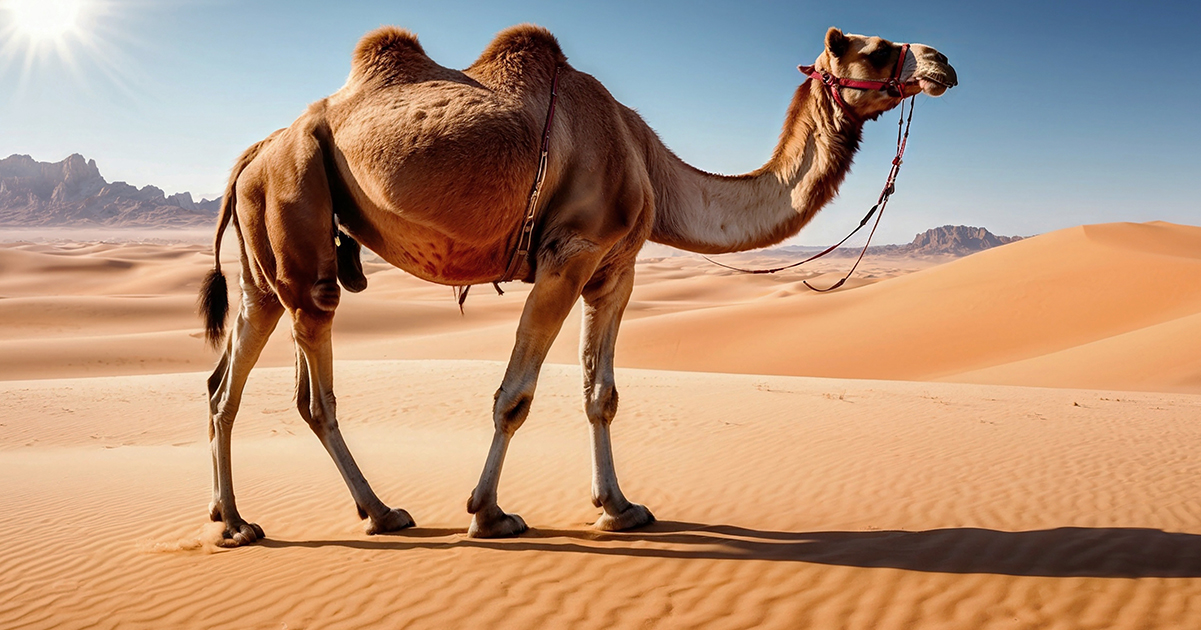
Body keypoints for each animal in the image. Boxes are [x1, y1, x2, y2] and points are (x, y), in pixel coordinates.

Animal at [198, 24, 957, 545]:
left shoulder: (614, 272)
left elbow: (603, 394)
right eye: (876, 49)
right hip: (299, 211)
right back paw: (381, 513)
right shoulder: (569, 254)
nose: (943, 61)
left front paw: (620, 509)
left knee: (224, 382)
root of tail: (255, 151)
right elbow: (514, 396)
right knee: (313, 387)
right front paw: (489, 514)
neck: (648, 161)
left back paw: (234, 522)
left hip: (266, 258)